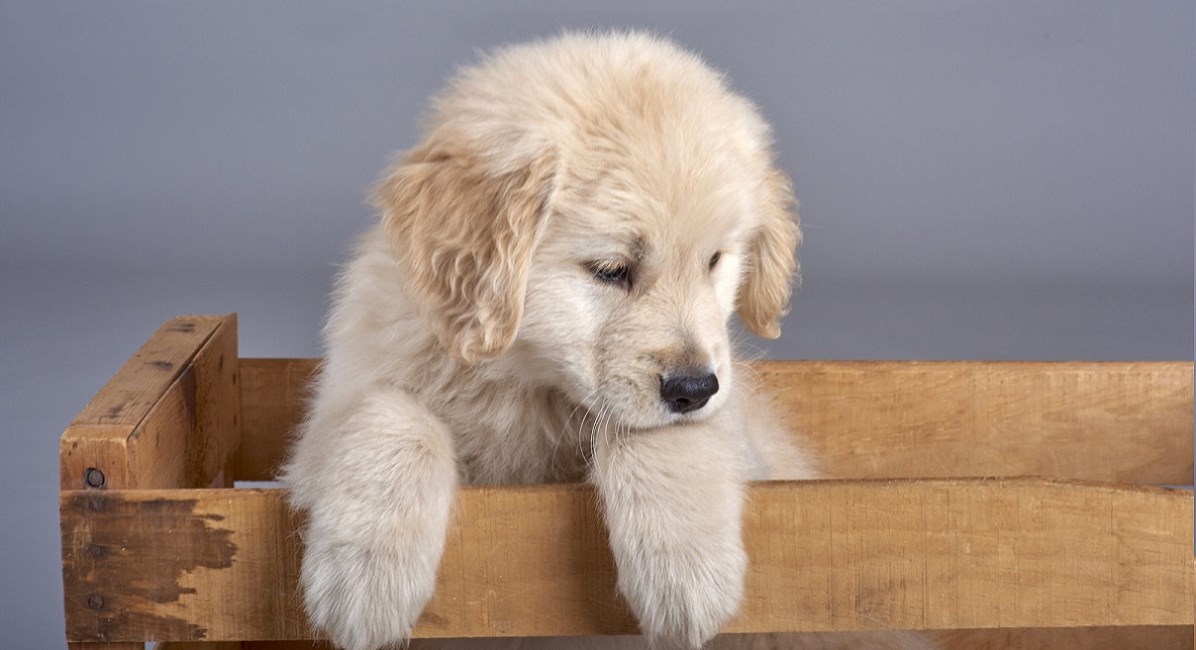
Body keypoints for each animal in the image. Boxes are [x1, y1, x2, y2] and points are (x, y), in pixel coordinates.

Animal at [282, 33, 913, 650]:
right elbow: (388, 414)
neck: (528, 385)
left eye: (714, 261)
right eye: (611, 270)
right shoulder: (334, 414)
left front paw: (687, 572)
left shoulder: (731, 423)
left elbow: (662, 435)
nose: (693, 387)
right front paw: (365, 576)